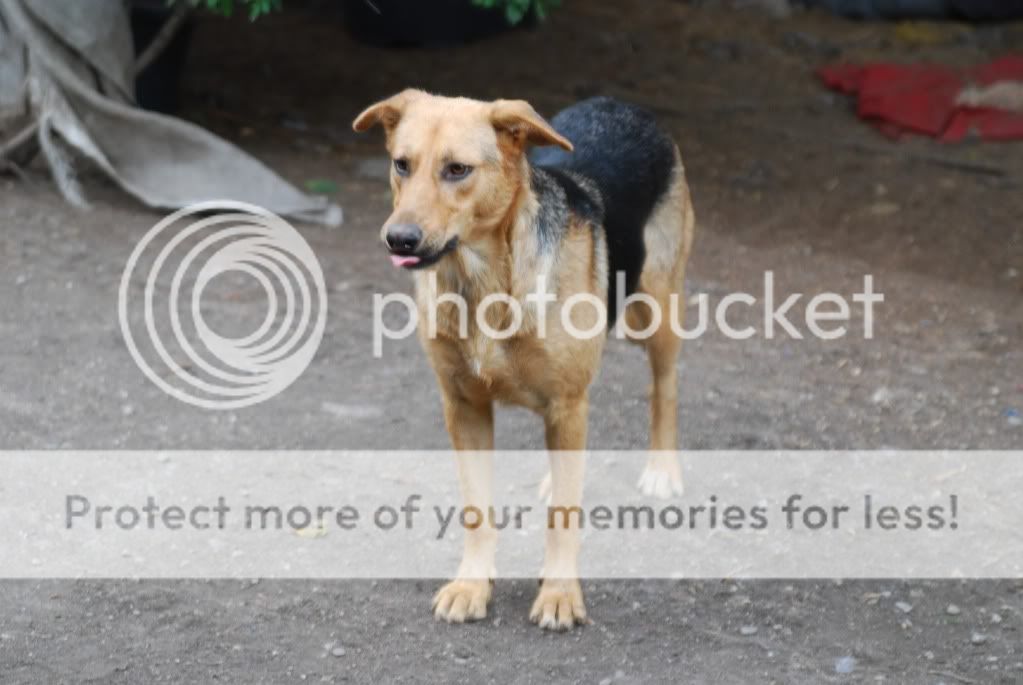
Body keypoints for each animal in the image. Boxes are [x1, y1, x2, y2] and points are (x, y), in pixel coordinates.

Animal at [351, 90, 695, 633]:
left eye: (457, 170)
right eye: (401, 164)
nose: (398, 239)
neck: (482, 281)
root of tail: (619, 102)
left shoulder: (567, 401)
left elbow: (564, 518)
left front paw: (559, 594)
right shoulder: (464, 407)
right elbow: (477, 510)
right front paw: (472, 585)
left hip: (655, 311)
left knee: (664, 388)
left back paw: (662, 469)